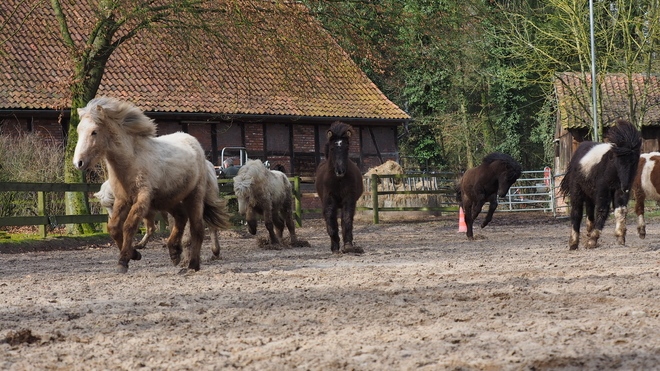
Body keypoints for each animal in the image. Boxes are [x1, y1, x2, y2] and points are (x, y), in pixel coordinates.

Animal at [95, 160, 223, 258]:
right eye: (106, 206)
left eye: (112, 203)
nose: (112, 217)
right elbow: (153, 228)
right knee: (211, 226)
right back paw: (215, 251)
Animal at [316, 120, 364, 254]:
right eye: (332, 148)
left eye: (346, 148)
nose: (340, 171)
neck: (338, 180)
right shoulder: (329, 199)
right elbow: (330, 220)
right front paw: (335, 246)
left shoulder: (349, 199)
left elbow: (347, 220)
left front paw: (348, 246)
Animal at [560, 120, 640, 251]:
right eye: (619, 160)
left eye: (634, 161)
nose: (626, 186)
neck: (611, 168)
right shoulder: (604, 191)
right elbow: (602, 210)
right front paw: (592, 240)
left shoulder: (618, 191)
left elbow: (620, 210)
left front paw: (620, 237)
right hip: (577, 191)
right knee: (576, 213)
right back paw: (573, 243)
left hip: (589, 194)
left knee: (589, 212)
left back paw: (587, 232)